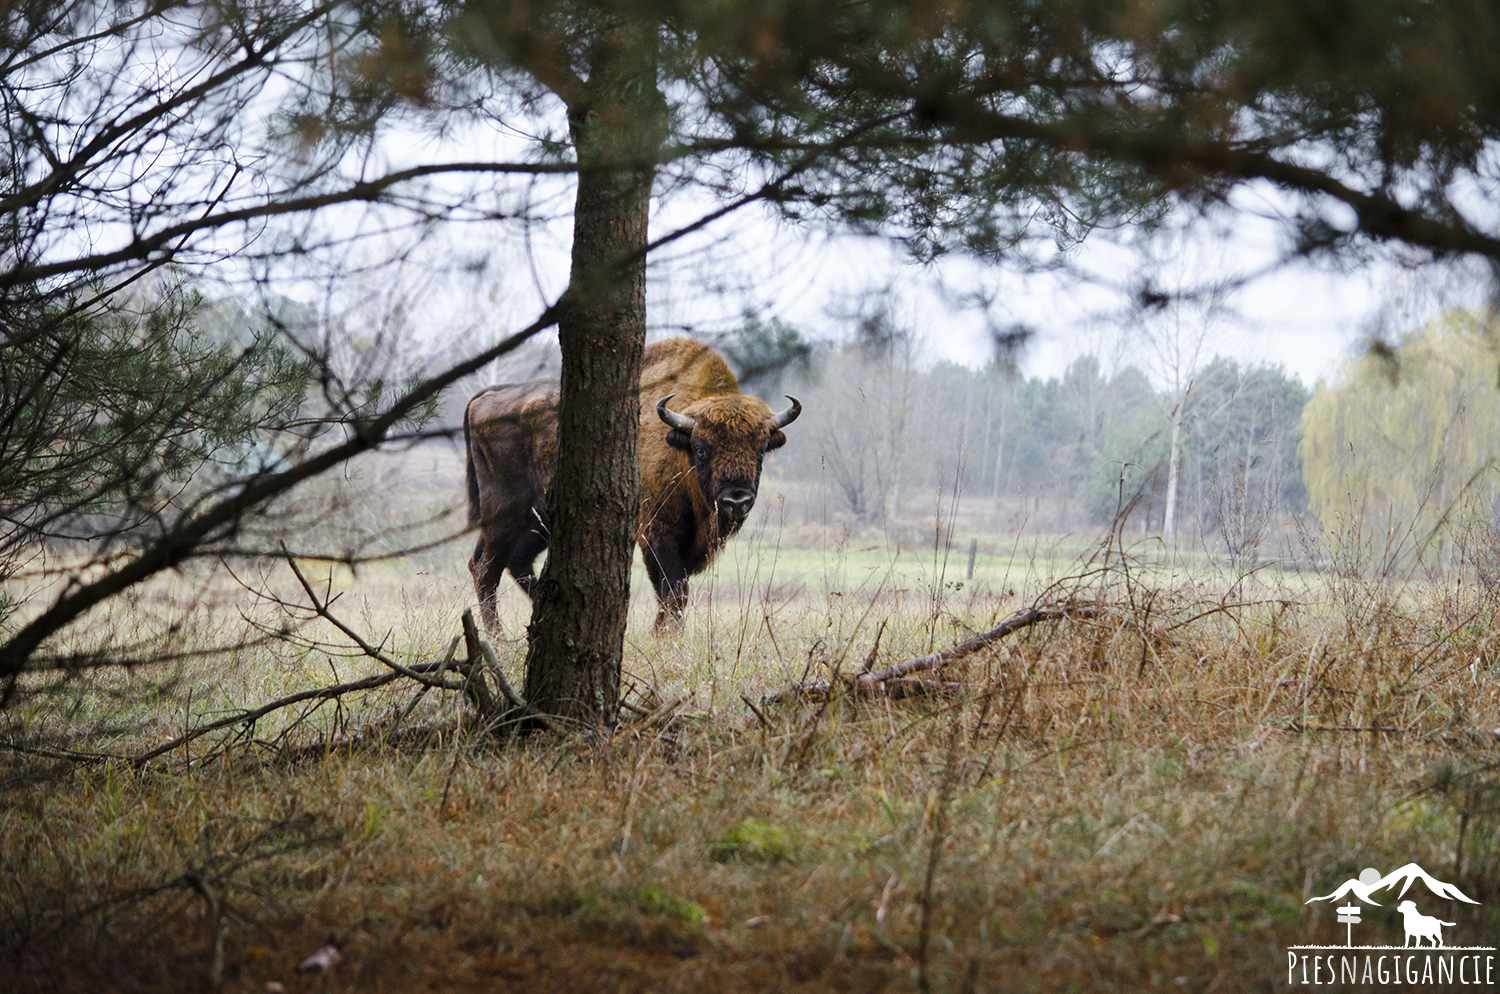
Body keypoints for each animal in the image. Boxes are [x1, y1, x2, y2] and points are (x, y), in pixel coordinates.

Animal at [465, 338, 798, 626]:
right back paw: (497, 637)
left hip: (540, 518)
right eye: (702, 449)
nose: (736, 500)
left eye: (760, 450)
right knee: (485, 568)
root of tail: (487, 396)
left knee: (515, 562)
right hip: (503, 513)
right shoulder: (656, 532)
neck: (680, 448)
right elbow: (673, 592)